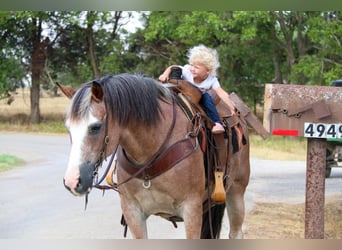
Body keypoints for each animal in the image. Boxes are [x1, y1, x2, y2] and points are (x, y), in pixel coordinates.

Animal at [58, 73, 251, 239]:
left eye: (96, 127)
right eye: (68, 128)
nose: (72, 181)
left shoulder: (191, 209)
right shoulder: (133, 211)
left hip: (236, 191)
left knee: (235, 233)